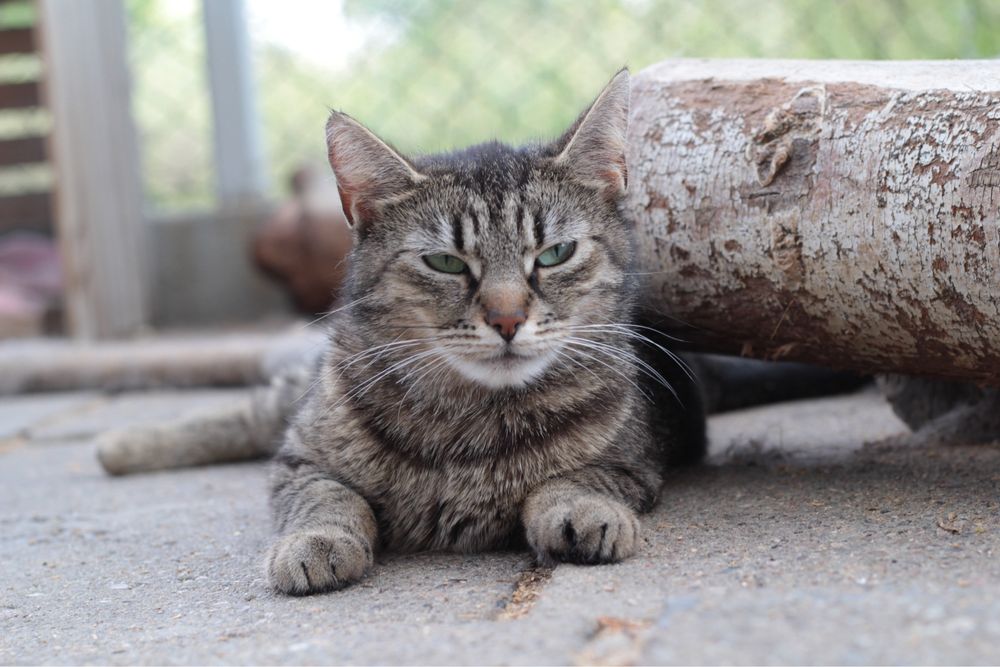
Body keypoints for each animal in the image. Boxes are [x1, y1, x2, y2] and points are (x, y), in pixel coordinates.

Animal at [262, 72, 708, 596]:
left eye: (555, 253)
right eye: (446, 262)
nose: (507, 319)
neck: (472, 426)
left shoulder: (635, 464)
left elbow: (574, 478)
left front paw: (583, 509)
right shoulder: (298, 461)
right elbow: (327, 495)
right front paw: (316, 541)